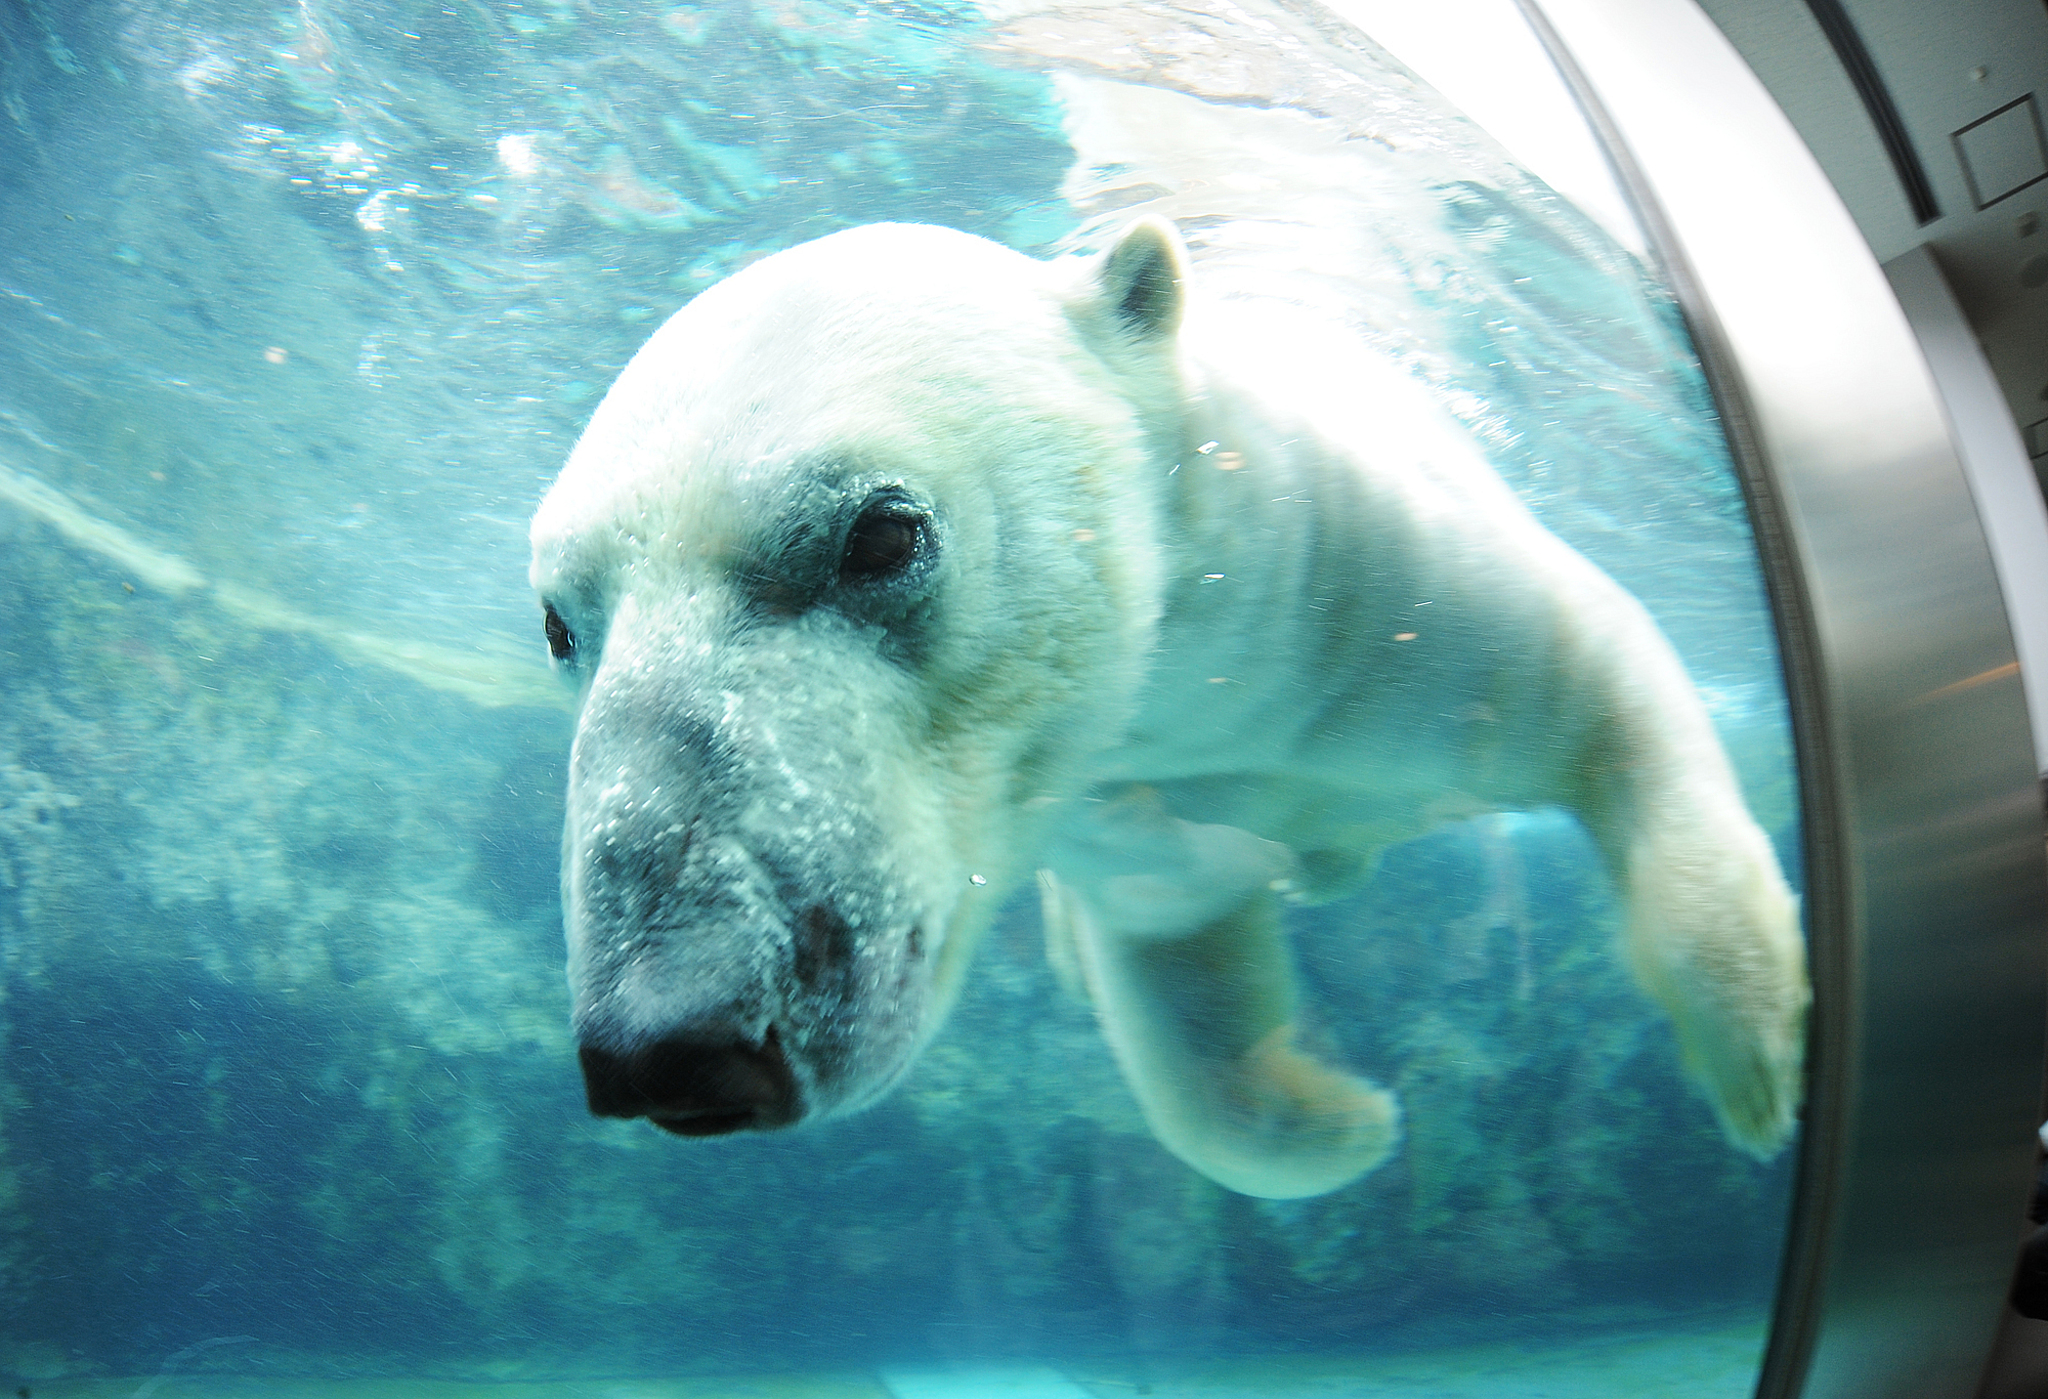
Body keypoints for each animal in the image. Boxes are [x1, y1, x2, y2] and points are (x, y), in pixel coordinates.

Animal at [528, 221, 1810, 1204]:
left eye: (881, 534)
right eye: (554, 620)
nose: (668, 1047)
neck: (1189, 680)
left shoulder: (1376, 595)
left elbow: (1609, 681)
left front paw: (1757, 1058)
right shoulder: (1124, 805)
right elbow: (1186, 984)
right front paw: (1345, 1115)